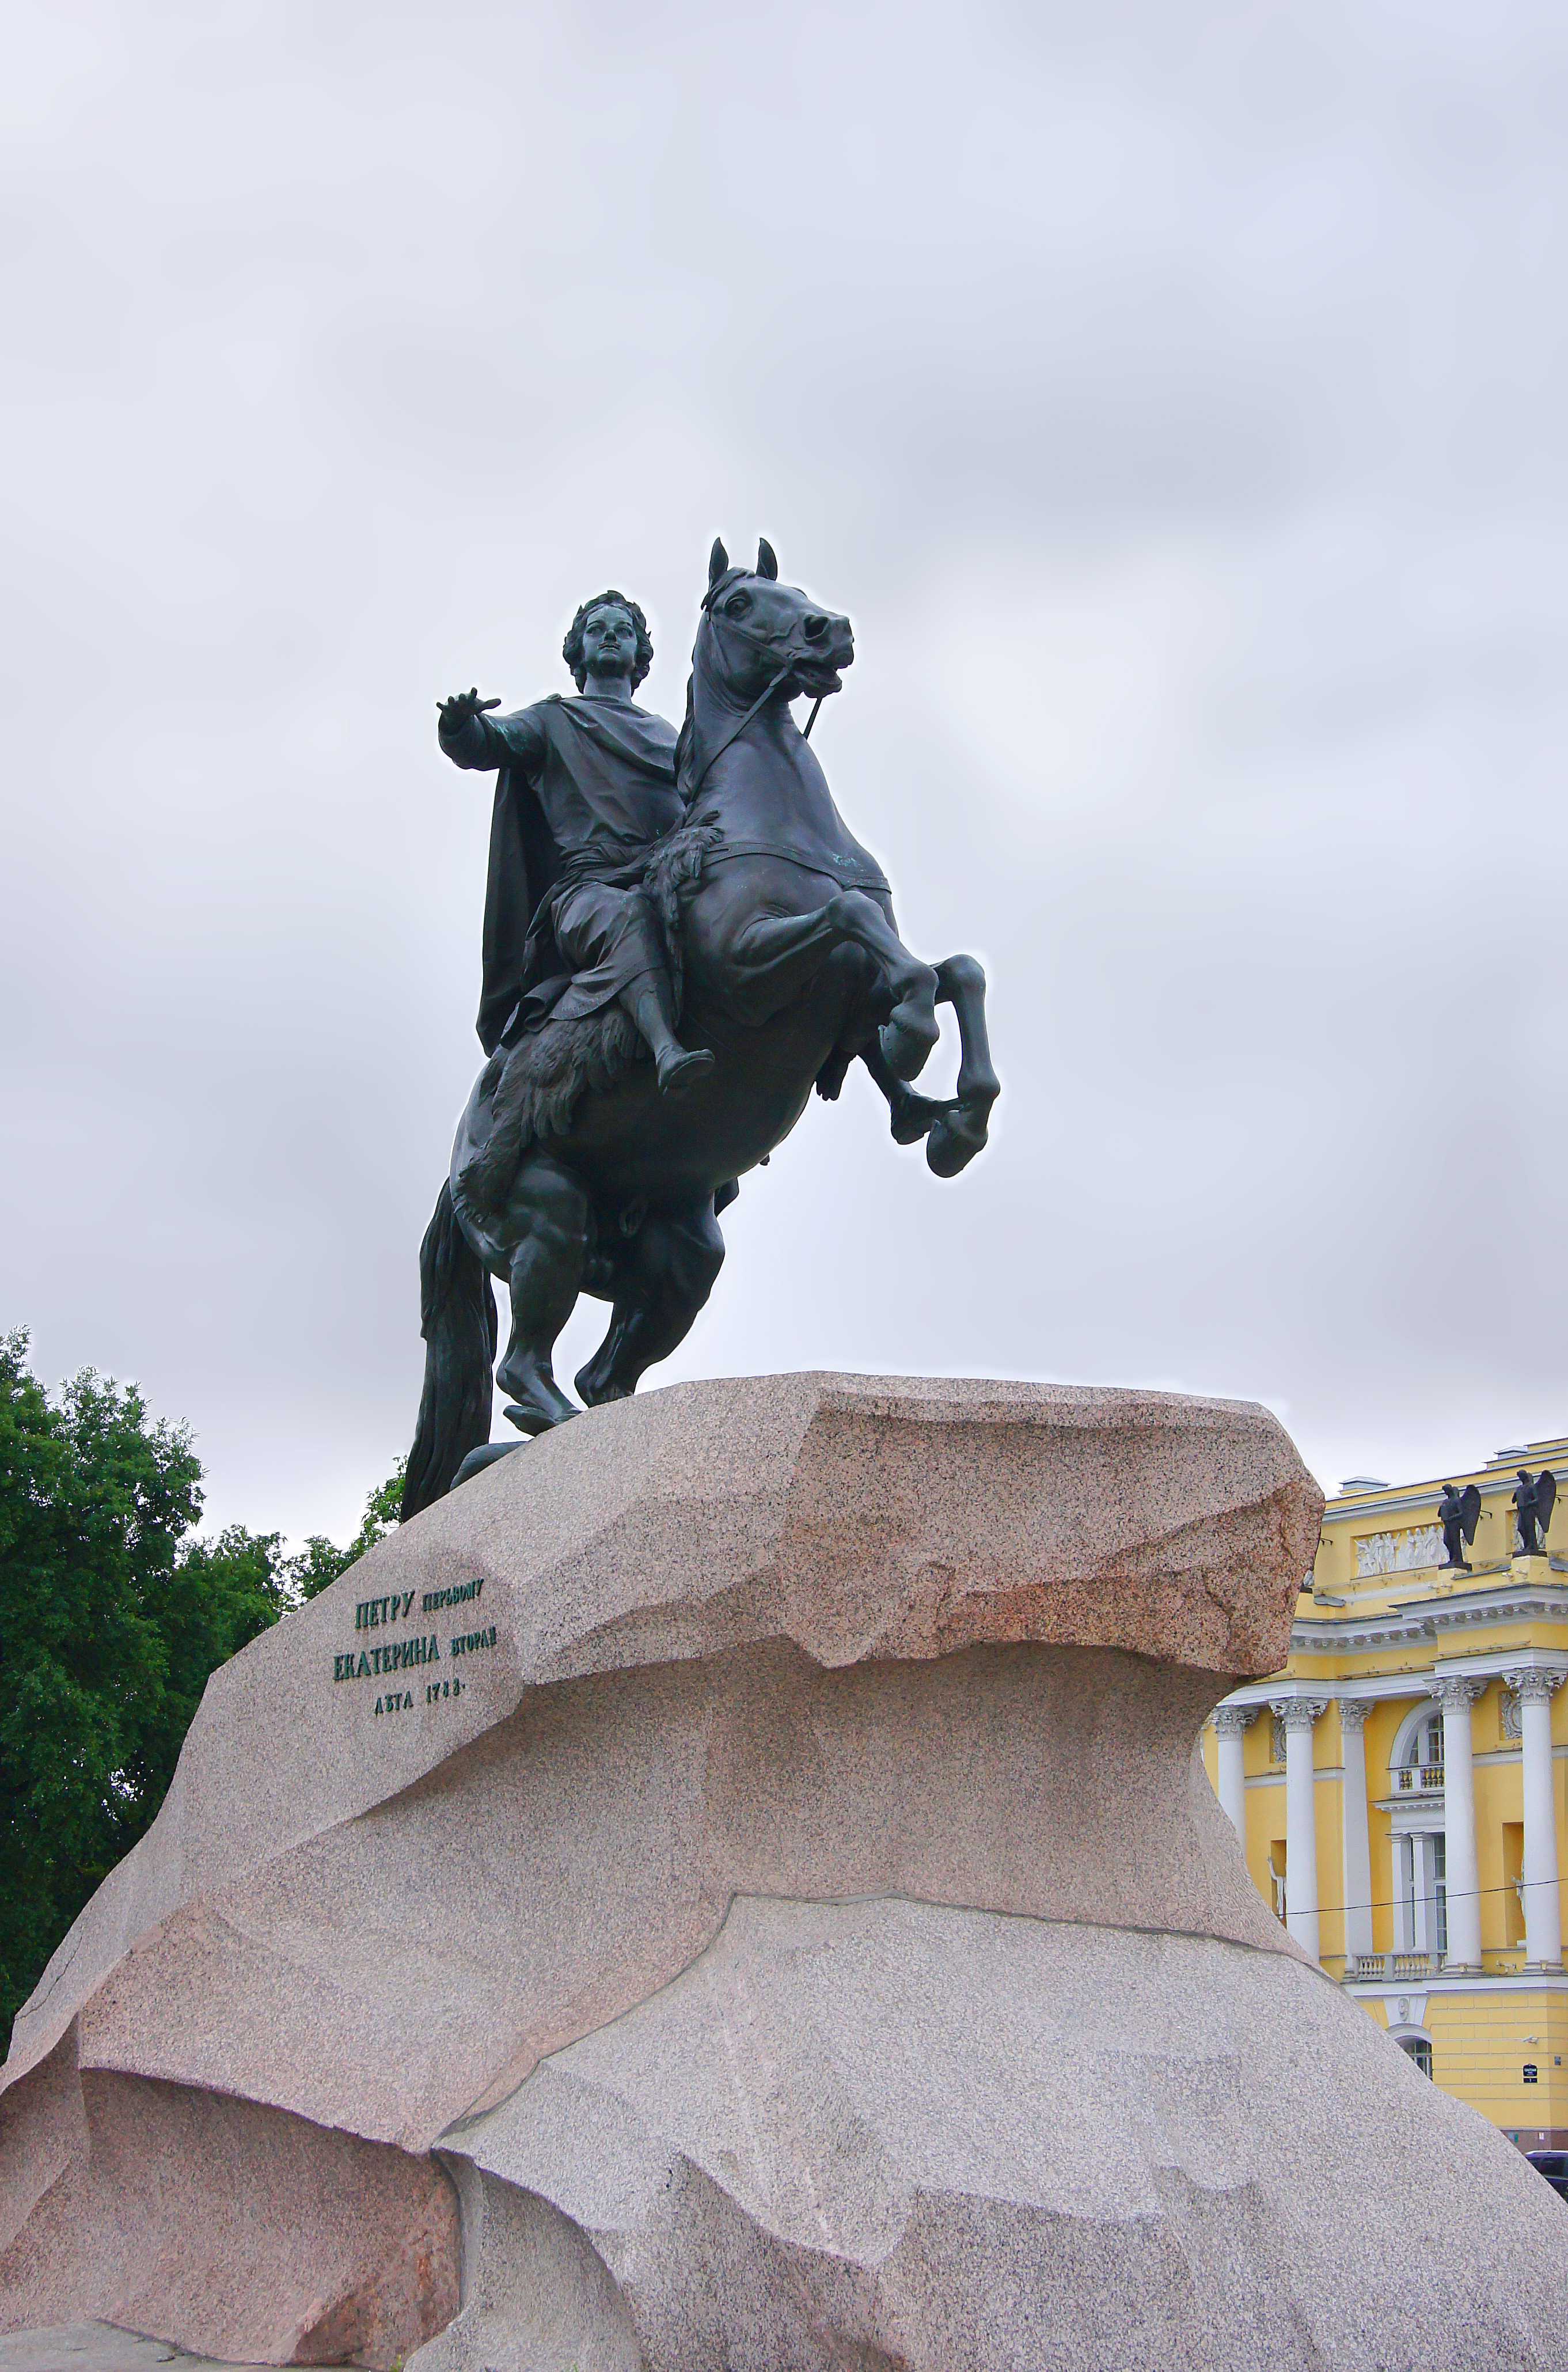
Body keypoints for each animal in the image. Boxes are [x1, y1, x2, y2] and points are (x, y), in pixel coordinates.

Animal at [401, 540, 991, 1518]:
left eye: (791, 589)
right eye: (742, 603)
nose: (830, 630)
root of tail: (450, 1179)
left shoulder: (848, 996)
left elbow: (954, 971)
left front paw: (952, 1119)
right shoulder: (752, 971)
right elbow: (861, 934)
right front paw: (917, 1046)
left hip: (680, 1259)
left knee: (604, 1376)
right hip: (548, 1216)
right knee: (524, 1366)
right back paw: (535, 1437)